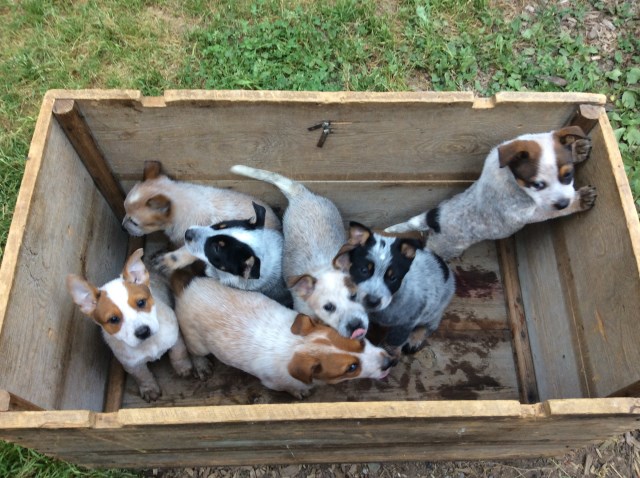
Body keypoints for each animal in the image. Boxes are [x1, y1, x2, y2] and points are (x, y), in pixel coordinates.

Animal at [65, 248, 202, 402]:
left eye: (141, 302)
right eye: (113, 319)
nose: (143, 331)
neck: (149, 344)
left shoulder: (175, 337)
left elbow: (179, 353)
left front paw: (183, 368)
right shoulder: (132, 364)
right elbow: (143, 376)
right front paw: (149, 388)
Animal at [170, 268, 396, 400]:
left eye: (361, 341)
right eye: (351, 368)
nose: (390, 362)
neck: (296, 345)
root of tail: (188, 285)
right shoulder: (274, 382)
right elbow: (290, 388)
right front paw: (300, 391)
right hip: (196, 341)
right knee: (194, 352)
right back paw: (201, 366)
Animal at [336, 222, 456, 356]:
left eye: (392, 278)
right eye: (364, 270)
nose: (372, 301)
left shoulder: (407, 322)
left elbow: (393, 342)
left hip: (435, 310)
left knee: (428, 326)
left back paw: (414, 339)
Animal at [384, 127, 600, 260]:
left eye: (568, 174)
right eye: (537, 184)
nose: (564, 202)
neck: (509, 175)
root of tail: (433, 217)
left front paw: (576, 148)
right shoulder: (528, 212)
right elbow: (552, 211)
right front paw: (580, 200)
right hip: (444, 248)